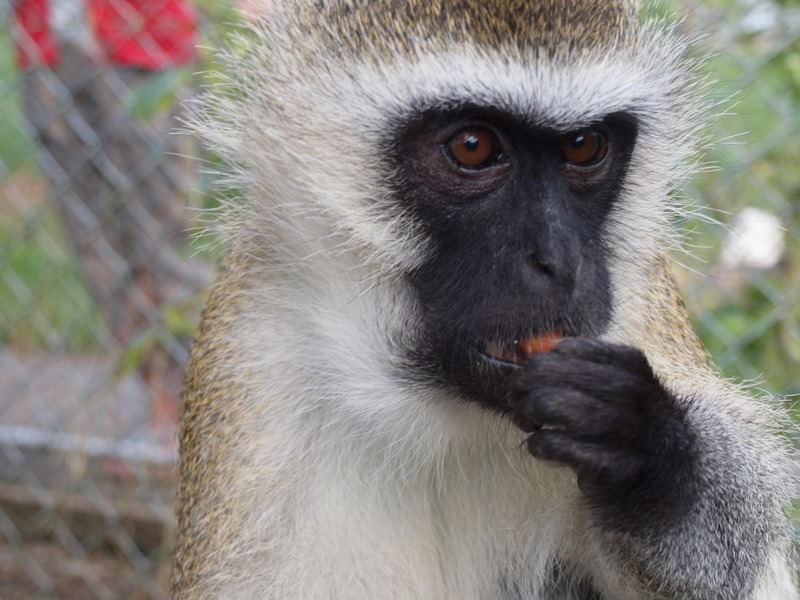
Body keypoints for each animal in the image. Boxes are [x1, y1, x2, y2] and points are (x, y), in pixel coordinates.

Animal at [171, 0, 798, 598]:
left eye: (584, 145)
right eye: (473, 147)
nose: (562, 263)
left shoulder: (637, 315)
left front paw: (651, 452)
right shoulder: (251, 360)